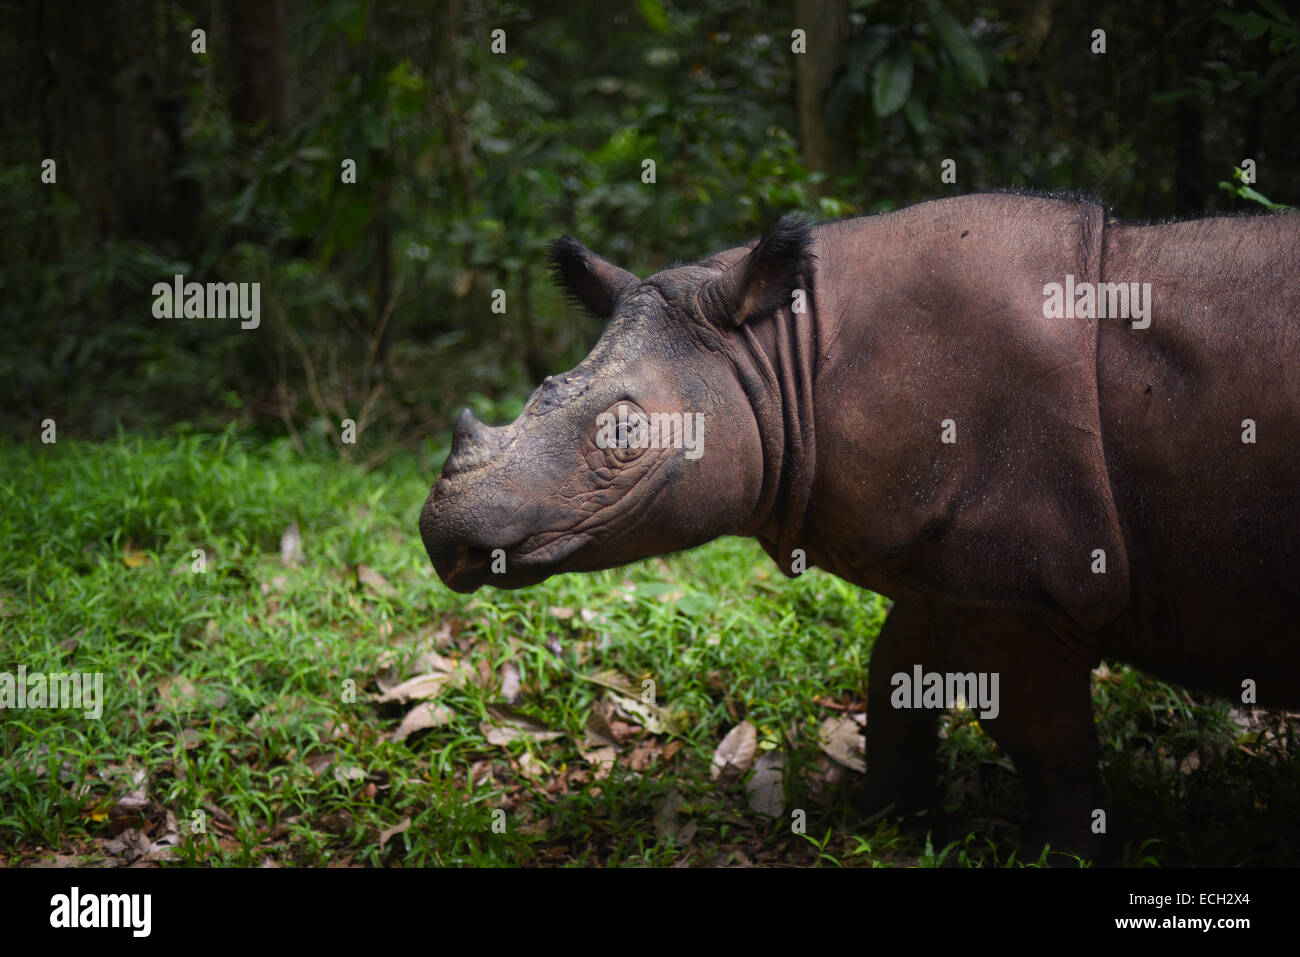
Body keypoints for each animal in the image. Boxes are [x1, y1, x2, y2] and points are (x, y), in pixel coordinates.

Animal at [418, 192, 1300, 852]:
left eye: (626, 435)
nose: (442, 535)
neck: (782, 358)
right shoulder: (950, 572)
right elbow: (895, 680)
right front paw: (883, 820)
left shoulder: (1022, 594)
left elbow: (1045, 740)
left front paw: (1062, 853)